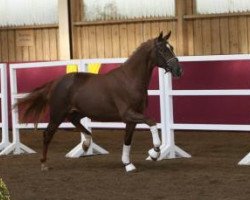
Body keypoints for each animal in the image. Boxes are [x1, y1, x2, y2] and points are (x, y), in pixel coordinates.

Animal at [16, 31, 183, 172]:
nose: (178, 70)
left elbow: (127, 140)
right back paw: (44, 164)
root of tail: (56, 82)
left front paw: (128, 164)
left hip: (78, 111)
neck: (129, 80)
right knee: (47, 134)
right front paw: (154, 153)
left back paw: (86, 144)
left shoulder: (132, 118)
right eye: (163, 50)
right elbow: (152, 122)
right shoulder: (128, 114)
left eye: (172, 48)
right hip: (58, 113)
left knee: (76, 122)